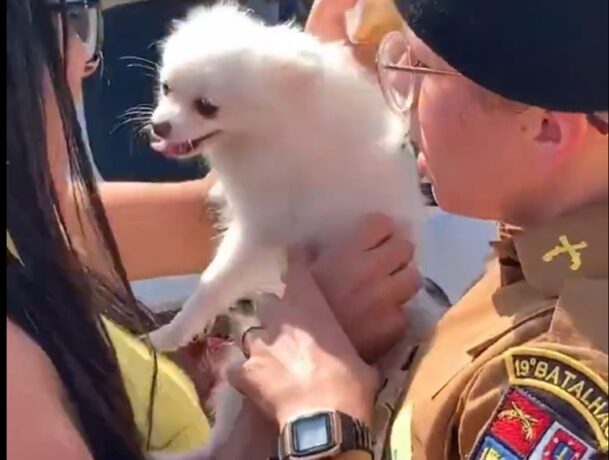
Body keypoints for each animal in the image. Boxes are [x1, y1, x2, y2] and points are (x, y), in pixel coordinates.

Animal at [145, 2, 444, 456]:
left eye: (206, 106)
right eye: (166, 89)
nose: (159, 126)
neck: (275, 125)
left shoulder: (259, 231)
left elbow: (212, 283)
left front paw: (170, 331)